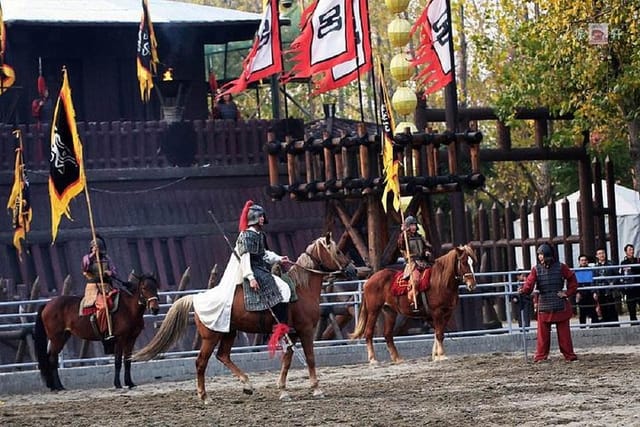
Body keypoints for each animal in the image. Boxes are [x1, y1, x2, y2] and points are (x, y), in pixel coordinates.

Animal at [33, 274, 161, 392]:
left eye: (155, 287)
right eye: (144, 288)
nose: (155, 309)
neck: (128, 308)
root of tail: (47, 304)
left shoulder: (131, 339)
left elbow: (127, 361)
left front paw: (130, 383)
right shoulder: (120, 339)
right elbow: (118, 361)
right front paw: (118, 384)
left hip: (63, 337)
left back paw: (54, 386)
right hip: (56, 338)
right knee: (52, 359)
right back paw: (58, 386)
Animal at [132, 234, 358, 404]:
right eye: (338, 251)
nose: (353, 269)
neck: (301, 289)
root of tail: (196, 298)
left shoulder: (291, 333)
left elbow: (287, 360)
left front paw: (283, 390)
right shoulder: (305, 330)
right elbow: (310, 358)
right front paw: (317, 389)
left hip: (229, 333)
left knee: (223, 356)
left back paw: (247, 385)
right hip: (210, 337)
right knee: (201, 362)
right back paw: (205, 397)